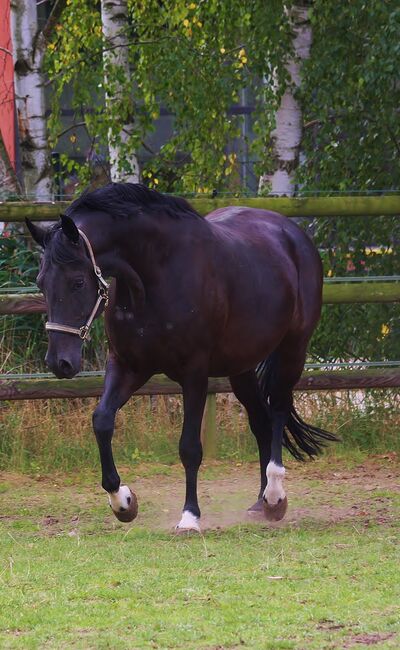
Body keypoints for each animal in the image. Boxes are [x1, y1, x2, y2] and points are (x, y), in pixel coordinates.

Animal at [26, 182, 336, 532]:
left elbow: (189, 447)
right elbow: (102, 421)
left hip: (293, 348)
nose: (59, 362)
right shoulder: (127, 365)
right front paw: (123, 502)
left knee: (280, 409)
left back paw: (274, 496)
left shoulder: (194, 373)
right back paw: (260, 503)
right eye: (41, 282)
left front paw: (189, 517)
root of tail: (292, 233)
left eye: (78, 282)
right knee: (262, 422)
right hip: (241, 367)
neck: (155, 275)